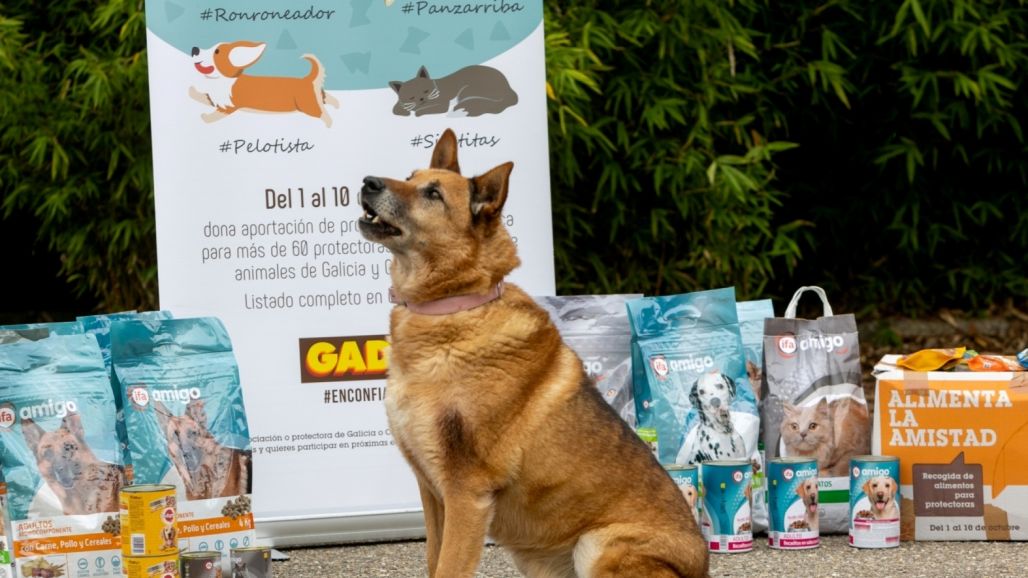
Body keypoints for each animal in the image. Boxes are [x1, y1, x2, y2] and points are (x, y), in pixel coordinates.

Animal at [188, 41, 339, 126]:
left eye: (217, 51)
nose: (194, 49)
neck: (223, 81)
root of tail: (307, 79)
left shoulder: (229, 106)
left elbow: (214, 116)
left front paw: (205, 118)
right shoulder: (216, 99)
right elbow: (201, 96)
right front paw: (192, 90)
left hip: (307, 106)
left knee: (325, 116)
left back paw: (329, 126)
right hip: (313, 98)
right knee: (325, 97)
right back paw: (337, 105)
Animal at [358, 129, 709, 577]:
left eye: (433, 193)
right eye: (409, 176)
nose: (368, 182)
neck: (455, 307)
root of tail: (702, 565)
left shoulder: (465, 495)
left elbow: (449, 567)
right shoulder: (432, 493)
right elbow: (434, 562)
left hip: (598, 544)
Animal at [388, 65, 518, 117]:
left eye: (425, 91)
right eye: (411, 97)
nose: (421, 99)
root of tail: (509, 87)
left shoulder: (443, 104)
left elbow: (419, 112)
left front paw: (416, 112)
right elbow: (396, 109)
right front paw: (405, 112)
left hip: (466, 92)